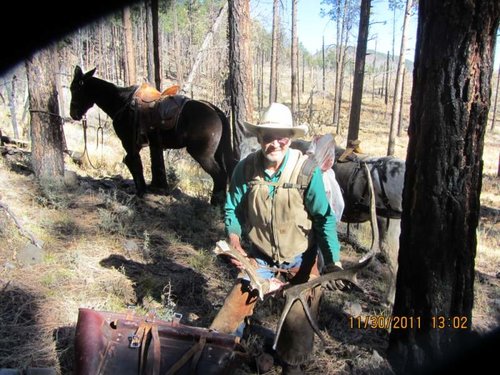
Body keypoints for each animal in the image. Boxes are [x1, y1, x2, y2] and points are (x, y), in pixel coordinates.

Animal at [68, 65, 236, 206]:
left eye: (74, 89)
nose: (73, 114)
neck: (122, 102)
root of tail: (214, 110)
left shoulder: (128, 143)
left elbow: (135, 164)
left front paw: (142, 193)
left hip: (202, 154)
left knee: (219, 175)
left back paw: (216, 205)